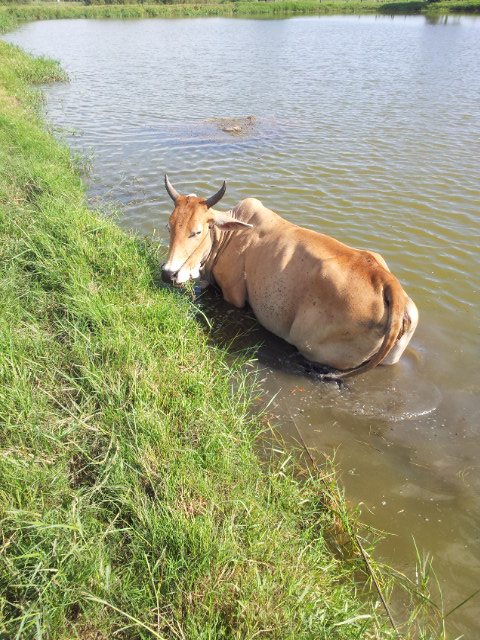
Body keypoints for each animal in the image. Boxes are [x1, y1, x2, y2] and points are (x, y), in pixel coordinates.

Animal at [161, 174, 416, 380]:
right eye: (169, 227)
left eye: (197, 232)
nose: (168, 273)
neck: (228, 237)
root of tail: (388, 283)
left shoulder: (233, 295)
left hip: (311, 346)